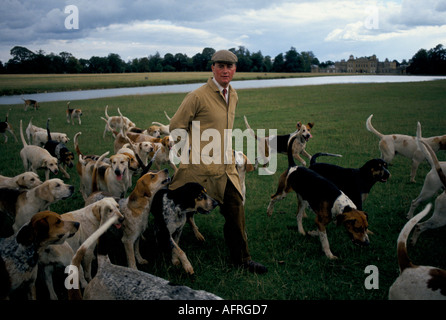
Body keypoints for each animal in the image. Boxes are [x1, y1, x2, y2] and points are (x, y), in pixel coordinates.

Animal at [266, 132, 368, 260]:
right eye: (357, 228)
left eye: (366, 228)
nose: (367, 243)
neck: (338, 203)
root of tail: (294, 166)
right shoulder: (320, 221)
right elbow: (325, 241)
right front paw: (329, 255)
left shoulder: (322, 222)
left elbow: (320, 233)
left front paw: (313, 233)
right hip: (283, 192)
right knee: (272, 198)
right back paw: (269, 211)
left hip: (303, 200)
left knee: (298, 216)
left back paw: (301, 231)